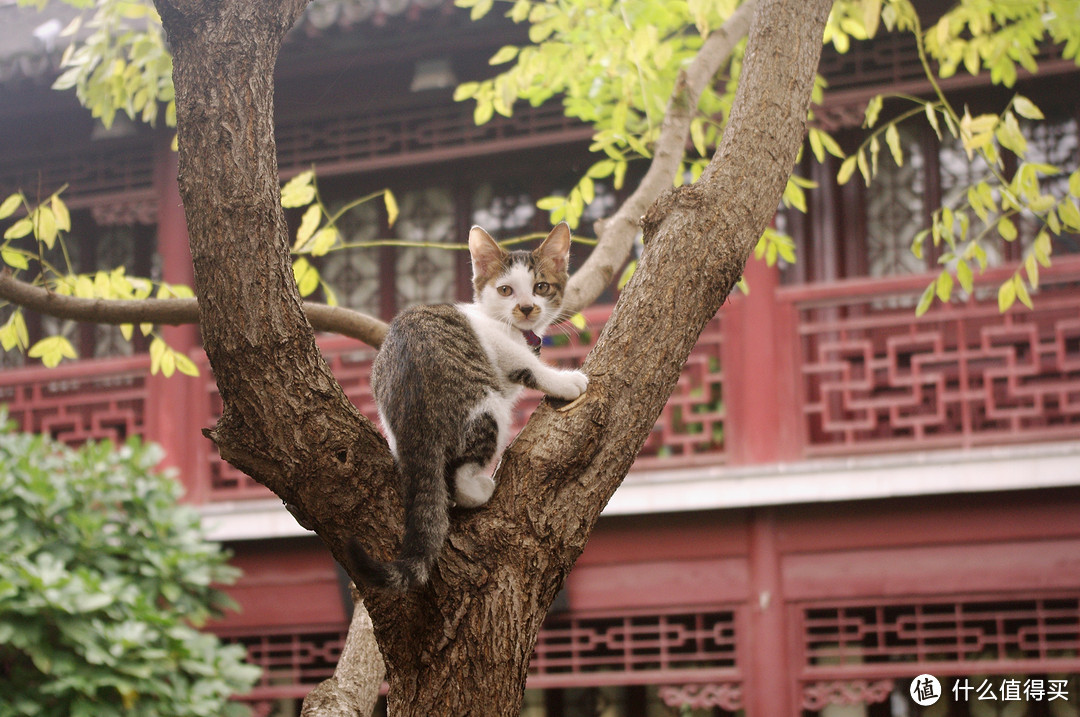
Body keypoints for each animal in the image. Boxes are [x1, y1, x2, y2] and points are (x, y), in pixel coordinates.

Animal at [349, 225, 591, 591]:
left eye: (541, 287)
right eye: (505, 290)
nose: (526, 308)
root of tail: (415, 420)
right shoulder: (498, 342)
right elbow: (527, 365)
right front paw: (564, 381)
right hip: (487, 406)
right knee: (461, 474)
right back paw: (478, 487)